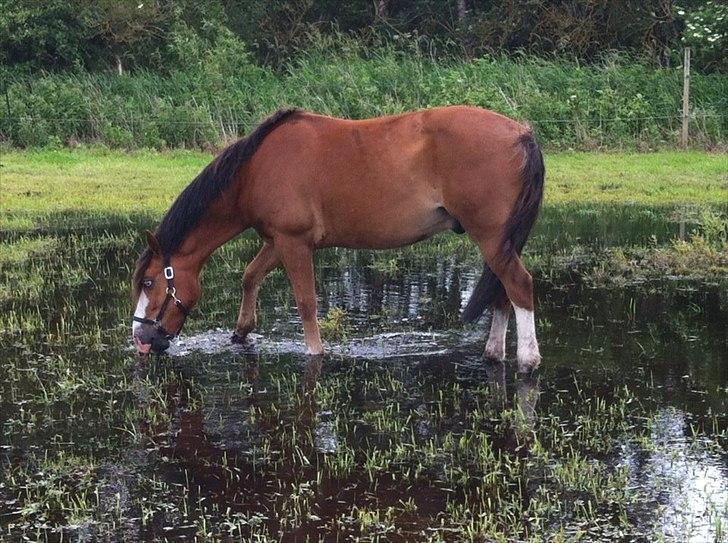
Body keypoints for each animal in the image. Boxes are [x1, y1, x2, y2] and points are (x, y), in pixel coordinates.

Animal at [134, 105, 544, 372]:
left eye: (151, 282)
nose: (141, 340)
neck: (255, 171)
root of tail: (521, 134)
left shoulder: (294, 243)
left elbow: (306, 303)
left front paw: (315, 352)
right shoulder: (278, 242)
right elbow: (250, 276)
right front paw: (242, 331)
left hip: (491, 239)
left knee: (519, 286)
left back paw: (527, 359)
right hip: (503, 243)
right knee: (503, 293)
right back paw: (493, 353)